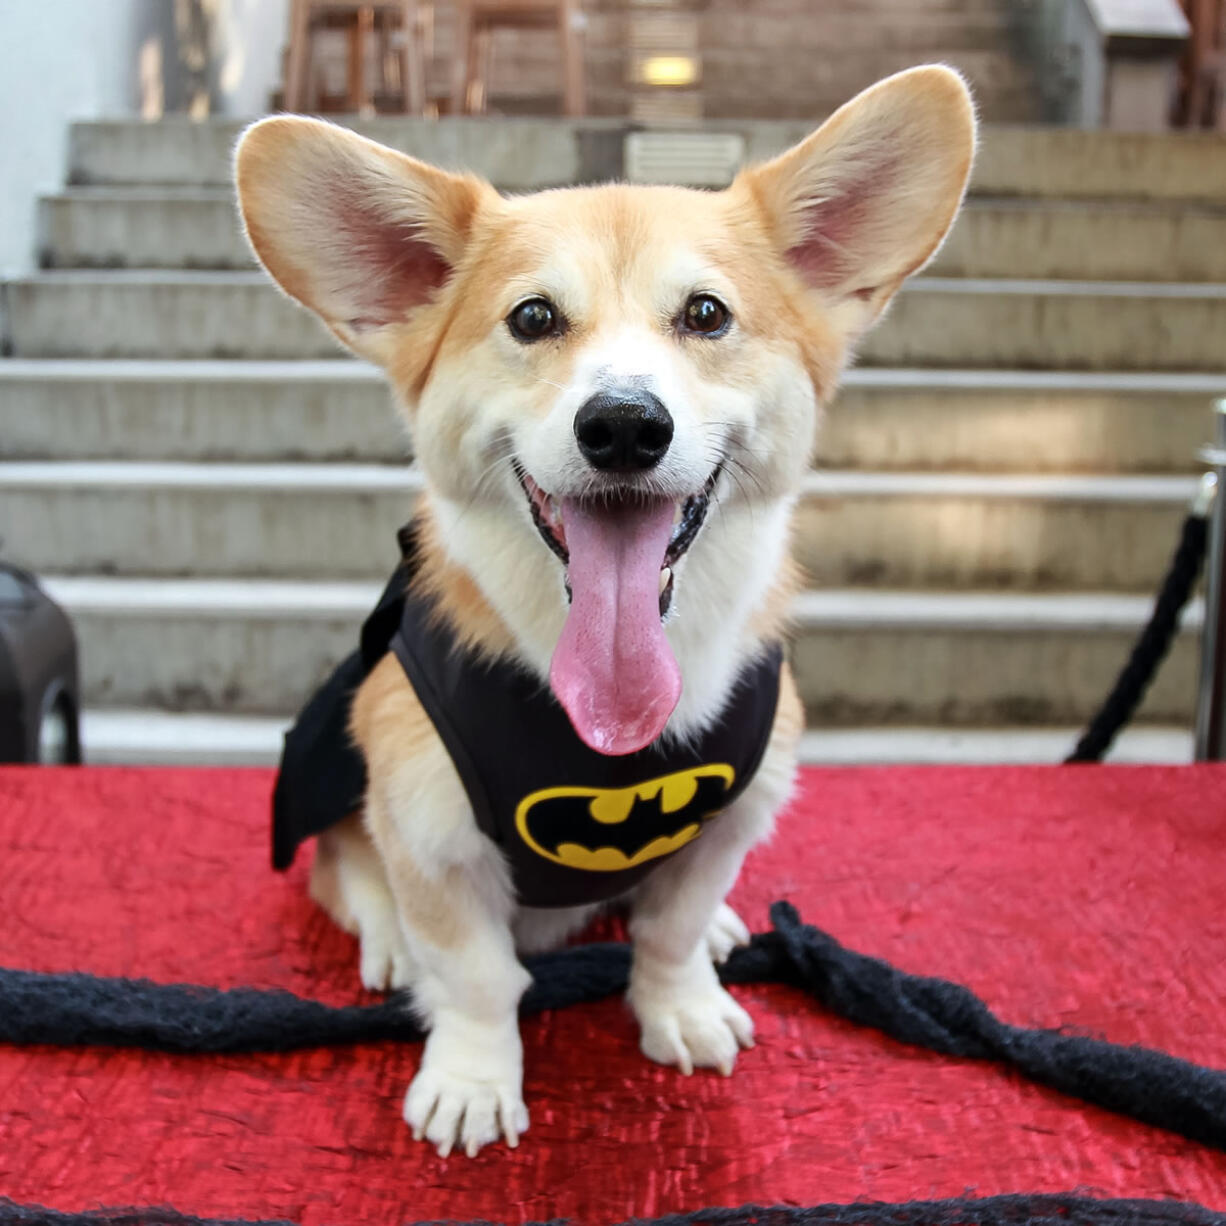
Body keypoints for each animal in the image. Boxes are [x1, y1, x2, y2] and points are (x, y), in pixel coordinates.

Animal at [234, 67, 970, 1157]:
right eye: (533, 319)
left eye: (706, 313)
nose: (624, 425)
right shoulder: (430, 834)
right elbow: (475, 975)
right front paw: (471, 1079)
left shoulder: (730, 813)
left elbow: (670, 928)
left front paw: (682, 1005)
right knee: (349, 871)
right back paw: (387, 939)